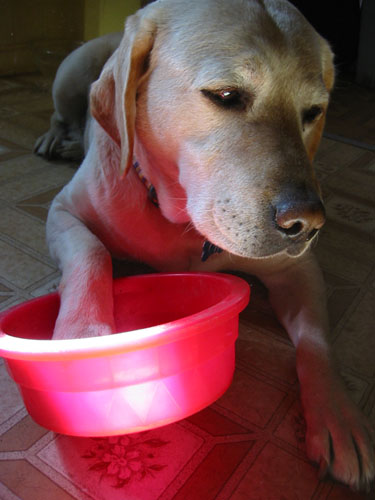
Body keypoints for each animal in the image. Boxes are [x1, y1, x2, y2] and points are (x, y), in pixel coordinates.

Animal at [33, 0, 374, 490]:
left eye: (313, 112)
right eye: (227, 95)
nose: (307, 223)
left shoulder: (298, 269)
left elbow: (316, 341)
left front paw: (338, 415)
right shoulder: (64, 211)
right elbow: (91, 253)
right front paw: (82, 335)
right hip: (69, 75)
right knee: (61, 116)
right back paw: (55, 139)